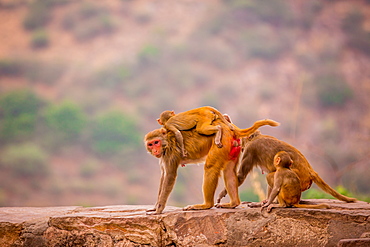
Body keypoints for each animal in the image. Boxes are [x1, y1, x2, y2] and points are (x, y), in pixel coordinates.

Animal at [145, 118, 280, 213]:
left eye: (156, 142)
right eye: (150, 144)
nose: (155, 150)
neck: (166, 141)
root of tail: (228, 128)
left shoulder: (170, 154)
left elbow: (169, 176)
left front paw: (159, 208)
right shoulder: (164, 157)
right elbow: (164, 176)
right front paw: (155, 207)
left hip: (221, 143)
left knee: (210, 167)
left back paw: (206, 205)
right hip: (231, 146)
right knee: (229, 171)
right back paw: (233, 203)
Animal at [217, 130, 356, 204]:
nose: (239, 144)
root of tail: (311, 171)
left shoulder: (250, 150)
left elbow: (240, 176)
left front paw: (222, 194)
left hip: (299, 179)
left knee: (275, 174)